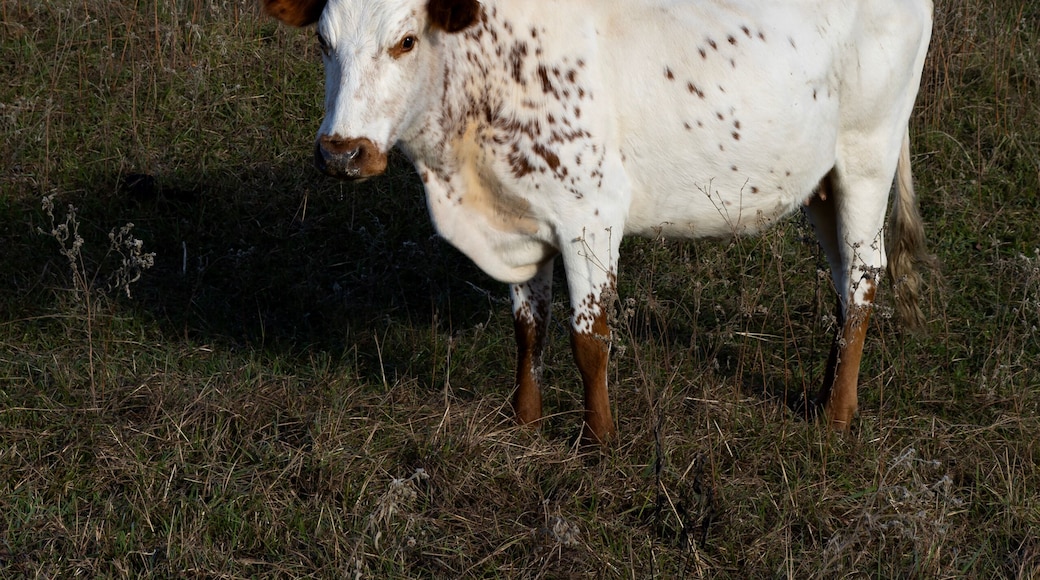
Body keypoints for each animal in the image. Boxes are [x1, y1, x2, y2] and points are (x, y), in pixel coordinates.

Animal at [262, 0, 933, 443]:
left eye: (405, 40)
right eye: (323, 41)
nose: (341, 152)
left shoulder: (590, 213)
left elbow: (589, 337)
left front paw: (599, 441)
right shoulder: (524, 216)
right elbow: (529, 325)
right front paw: (524, 419)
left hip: (866, 155)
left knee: (864, 279)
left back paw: (837, 417)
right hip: (824, 180)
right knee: (842, 282)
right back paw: (824, 397)